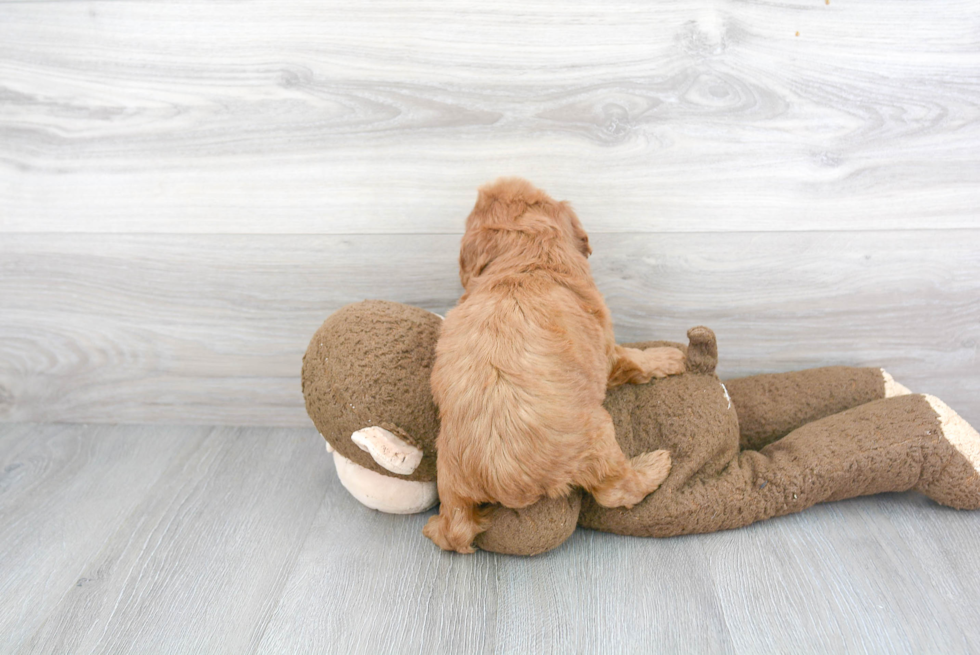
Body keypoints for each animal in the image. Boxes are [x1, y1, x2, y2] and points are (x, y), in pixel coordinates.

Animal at [424, 177, 684, 552]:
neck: (525, 261)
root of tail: (501, 476)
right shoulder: (607, 349)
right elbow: (635, 358)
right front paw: (670, 356)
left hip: (448, 477)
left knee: (452, 532)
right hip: (599, 433)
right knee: (615, 490)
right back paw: (654, 466)